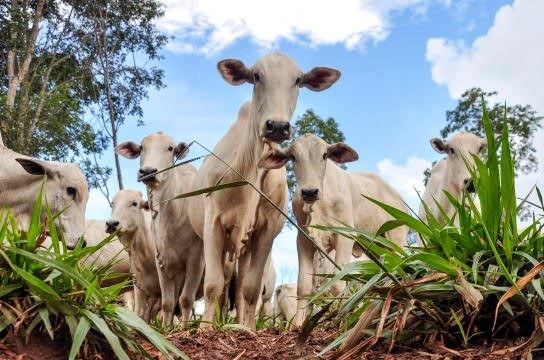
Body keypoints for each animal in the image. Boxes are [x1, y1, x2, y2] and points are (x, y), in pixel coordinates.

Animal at [116, 133, 204, 326]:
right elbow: (168, 303)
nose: (148, 171)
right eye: (142, 147)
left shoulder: (196, 258)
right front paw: (166, 328)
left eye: (170, 148)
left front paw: (185, 329)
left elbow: (186, 299)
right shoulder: (161, 261)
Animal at [188, 52, 340, 330]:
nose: (277, 126)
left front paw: (247, 329)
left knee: (239, 289)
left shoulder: (267, 230)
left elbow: (250, 288)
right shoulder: (213, 223)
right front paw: (204, 329)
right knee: (222, 284)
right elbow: (213, 285)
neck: (249, 170)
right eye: (256, 76)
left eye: (298, 80)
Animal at [260, 134, 408, 328]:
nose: (309, 192)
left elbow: (339, 283)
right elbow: (303, 286)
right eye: (293, 157)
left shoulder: (345, 237)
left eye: (324, 155)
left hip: (396, 239)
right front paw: (298, 324)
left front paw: (340, 320)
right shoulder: (304, 240)